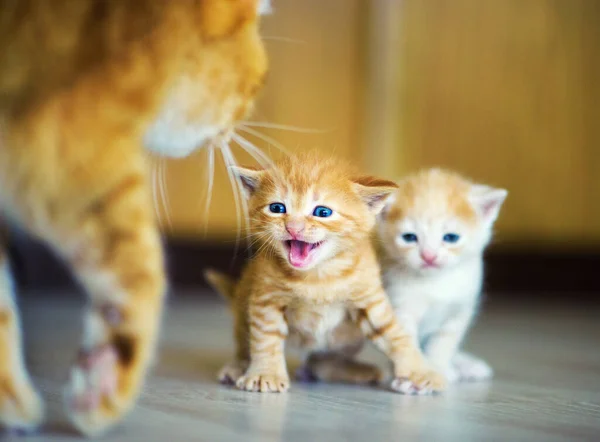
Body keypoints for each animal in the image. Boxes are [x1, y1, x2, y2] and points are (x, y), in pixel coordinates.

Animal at [206, 154, 446, 396]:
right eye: (277, 207)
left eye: (323, 212)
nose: (293, 227)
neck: (319, 276)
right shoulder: (266, 299)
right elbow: (265, 339)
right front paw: (266, 373)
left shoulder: (369, 299)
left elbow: (394, 334)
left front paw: (419, 372)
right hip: (244, 305)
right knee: (245, 344)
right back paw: (238, 367)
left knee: (320, 362)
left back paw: (354, 371)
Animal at [378, 169, 508, 384]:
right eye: (409, 237)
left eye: (451, 238)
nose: (429, 256)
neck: (436, 282)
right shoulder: (399, 306)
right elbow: (405, 342)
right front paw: (416, 374)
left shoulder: (459, 310)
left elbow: (444, 343)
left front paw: (439, 367)